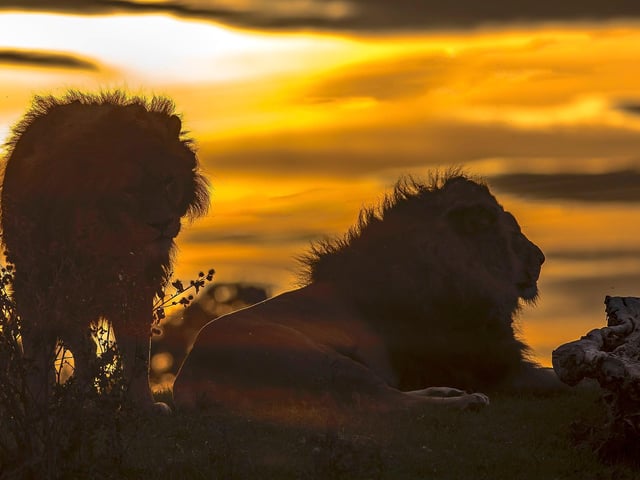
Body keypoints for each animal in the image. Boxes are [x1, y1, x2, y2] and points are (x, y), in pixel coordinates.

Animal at [1, 91, 209, 409]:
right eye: (129, 190)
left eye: (168, 181)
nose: (161, 224)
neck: (112, 238)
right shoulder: (68, 287)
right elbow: (84, 350)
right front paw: (86, 399)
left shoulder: (138, 284)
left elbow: (138, 352)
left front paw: (143, 404)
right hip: (34, 284)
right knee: (41, 346)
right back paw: (41, 400)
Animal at [173, 172, 551, 419]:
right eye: (515, 232)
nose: (542, 257)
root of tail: (186, 383)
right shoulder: (493, 365)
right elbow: (552, 379)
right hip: (325, 363)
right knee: (387, 404)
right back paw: (464, 402)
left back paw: (448, 392)